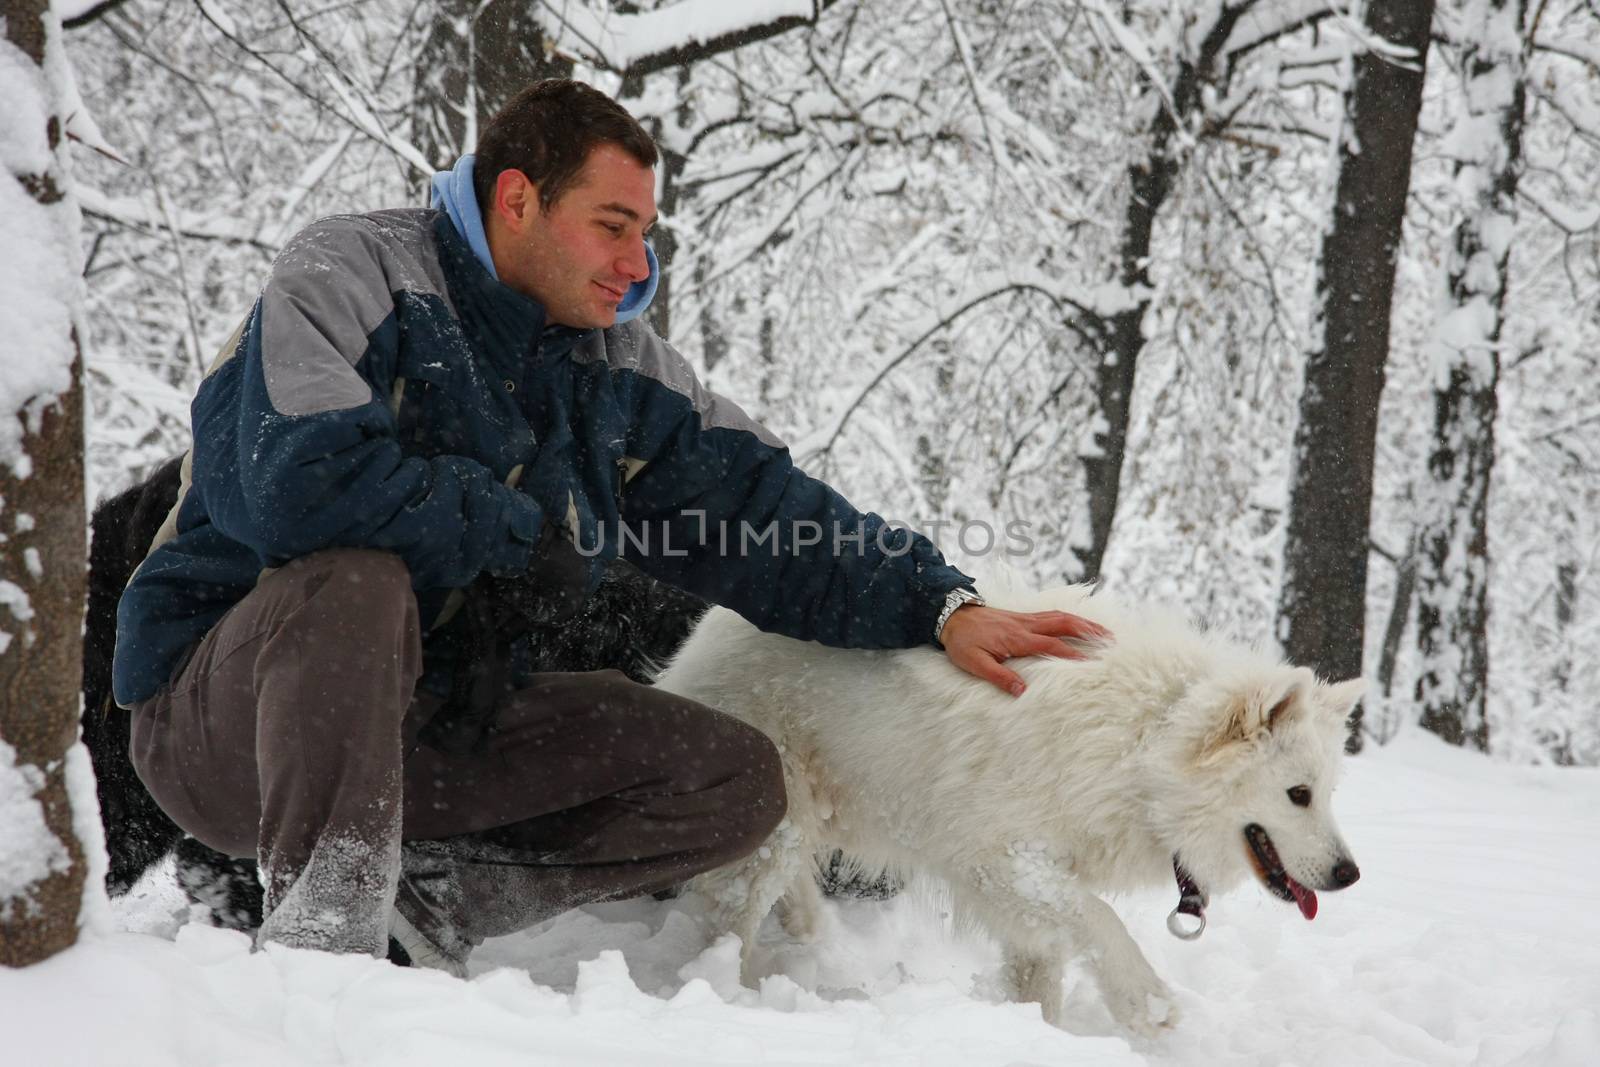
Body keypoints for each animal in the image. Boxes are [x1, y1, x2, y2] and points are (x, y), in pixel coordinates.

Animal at [649, 585, 1363, 1036]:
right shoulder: (1002, 859)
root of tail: (708, 628)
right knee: (731, 916)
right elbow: (1102, 921)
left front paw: (1042, 1036)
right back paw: (730, 992)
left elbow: (1039, 975)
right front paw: (1145, 1003)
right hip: (771, 814)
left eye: (1329, 793)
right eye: (1298, 794)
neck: (1144, 743)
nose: (1349, 875)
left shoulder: (1030, 889)